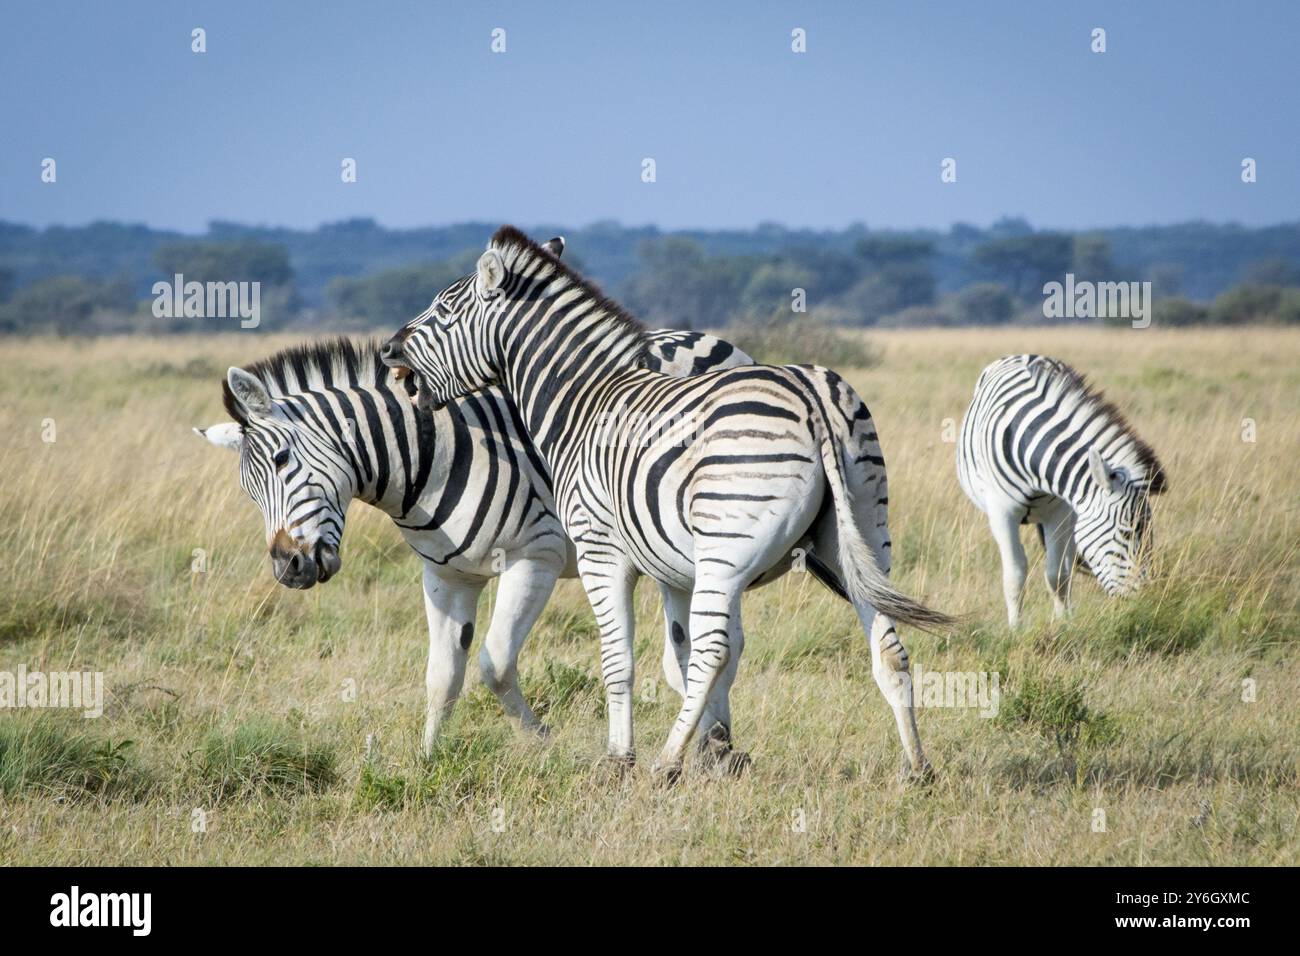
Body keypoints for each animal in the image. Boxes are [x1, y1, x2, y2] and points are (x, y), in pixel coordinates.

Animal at [379, 227, 951, 780]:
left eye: (444, 308)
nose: (387, 350)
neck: (582, 402)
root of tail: (811, 396)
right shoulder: (672, 566)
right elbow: (678, 653)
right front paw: (716, 753)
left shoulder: (599, 551)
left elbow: (621, 661)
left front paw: (620, 759)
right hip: (862, 531)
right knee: (888, 645)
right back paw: (916, 767)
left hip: (728, 546)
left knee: (714, 651)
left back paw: (666, 763)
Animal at [956, 353, 1170, 629]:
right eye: (1127, 532)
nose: (1145, 599)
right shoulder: (1002, 512)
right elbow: (1014, 575)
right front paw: (1015, 629)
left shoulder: (1058, 513)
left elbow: (1057, 575)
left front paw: (1063, 624)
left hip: (1072, 516)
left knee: (1067, 561)